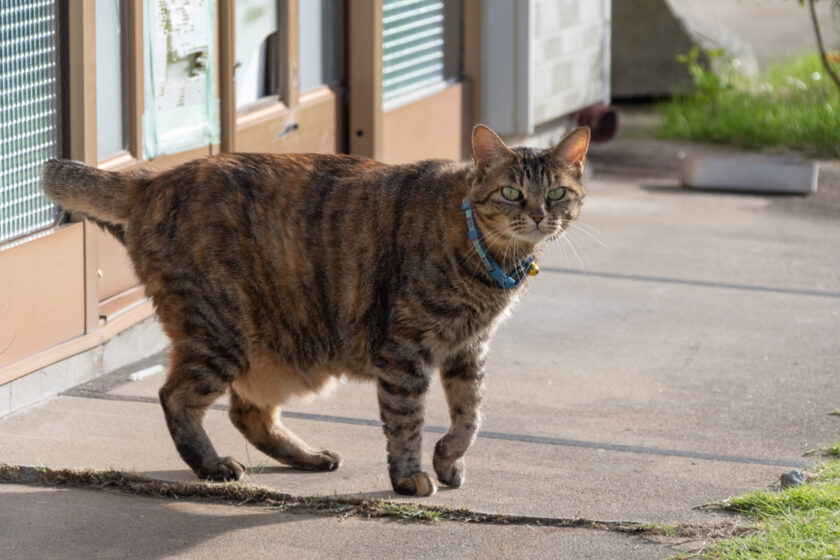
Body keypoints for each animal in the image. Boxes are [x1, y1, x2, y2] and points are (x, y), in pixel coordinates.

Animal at [41, 126, 592, 494]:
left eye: (558, 192)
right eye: (512, 192)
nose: (539, 215)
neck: (490, 263)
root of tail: (152, 180)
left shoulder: (468, 350)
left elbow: (470, 415)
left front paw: (447, 460)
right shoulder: (405, 351)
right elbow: (407, 420)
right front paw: (410, 475)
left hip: (277, 350)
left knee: (246, 411)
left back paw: (307, 456)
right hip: (221, 331)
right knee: (175, 396)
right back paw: (213, 466)